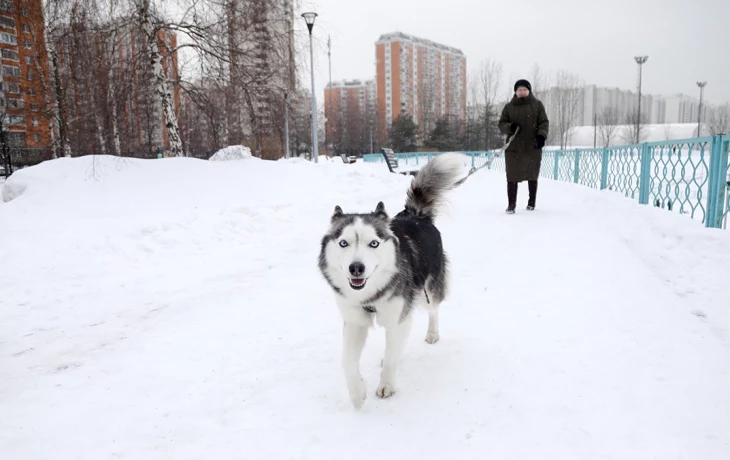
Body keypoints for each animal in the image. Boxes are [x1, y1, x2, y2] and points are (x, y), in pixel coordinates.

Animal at [316, 153, 464, 408]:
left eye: (373, 243)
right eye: (343, 243)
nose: (356, 268)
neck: (371, 295)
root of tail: (416, 215)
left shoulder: (398, 319)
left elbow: (394, 355)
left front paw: (386, 384)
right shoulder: (354, 321)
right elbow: (347, 362)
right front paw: (357, 392)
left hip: (427, 290)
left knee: (433, 309)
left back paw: (432, 333)